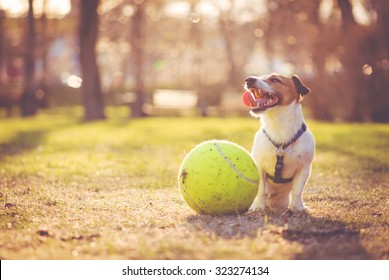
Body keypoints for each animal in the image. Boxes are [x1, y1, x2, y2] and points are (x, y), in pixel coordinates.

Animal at [242, 73, 316, 211]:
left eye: (275, 80)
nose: (249, 79)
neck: (278, 127)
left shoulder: (304, 168)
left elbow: (297, 191)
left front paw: (298, 207)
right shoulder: (259, 166)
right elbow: (261, 190)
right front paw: (258, 206)